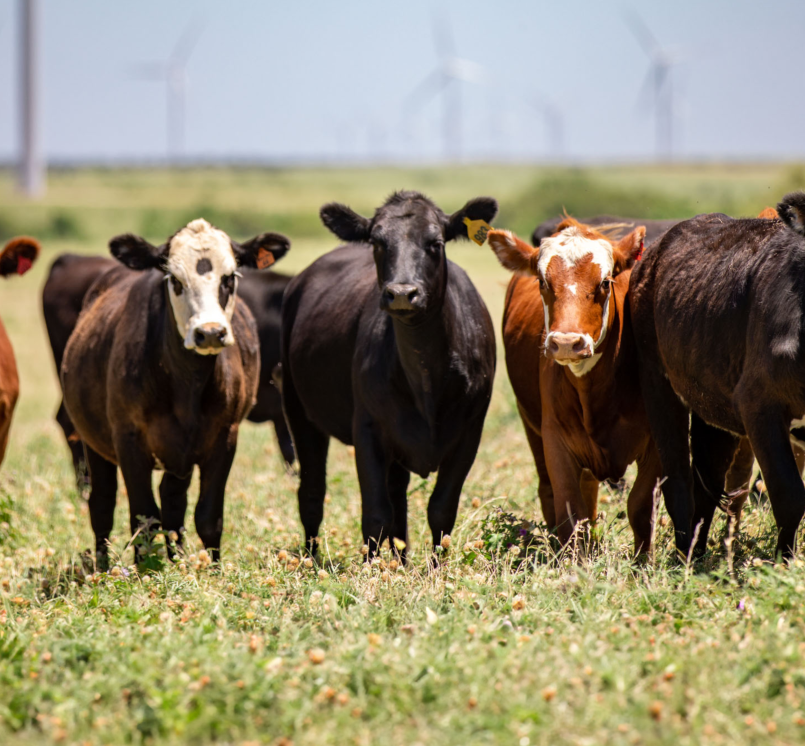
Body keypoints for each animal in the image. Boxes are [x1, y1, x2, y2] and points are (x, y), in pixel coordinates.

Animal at [281, 191, 497, 560]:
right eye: (377, 242)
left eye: (436, 243)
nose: (401, 293)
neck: (426, 377)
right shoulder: (367, 428)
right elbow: (375, 515)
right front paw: (371, 570)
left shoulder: (471, 431)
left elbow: (441, 510)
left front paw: (436, 569)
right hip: (298, 410)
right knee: (311, 493)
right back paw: (312, 560)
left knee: (398, 500)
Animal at [487, 219, 660, 555]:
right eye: (542, 281)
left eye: (604, 282)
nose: (567, 342)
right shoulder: (556, 442)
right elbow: (569, 511)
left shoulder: (657, 443)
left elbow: (640, 506)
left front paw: (642, 562)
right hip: (532, 426)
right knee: (551, 493)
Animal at [630, 192, 805, 559]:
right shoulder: (760, 405)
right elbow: (789, 495)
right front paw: (785, 562)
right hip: (659, 387)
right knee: (679, 480)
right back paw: (685, 555)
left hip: (712, 410)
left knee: (706, 483)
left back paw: (697, 551)